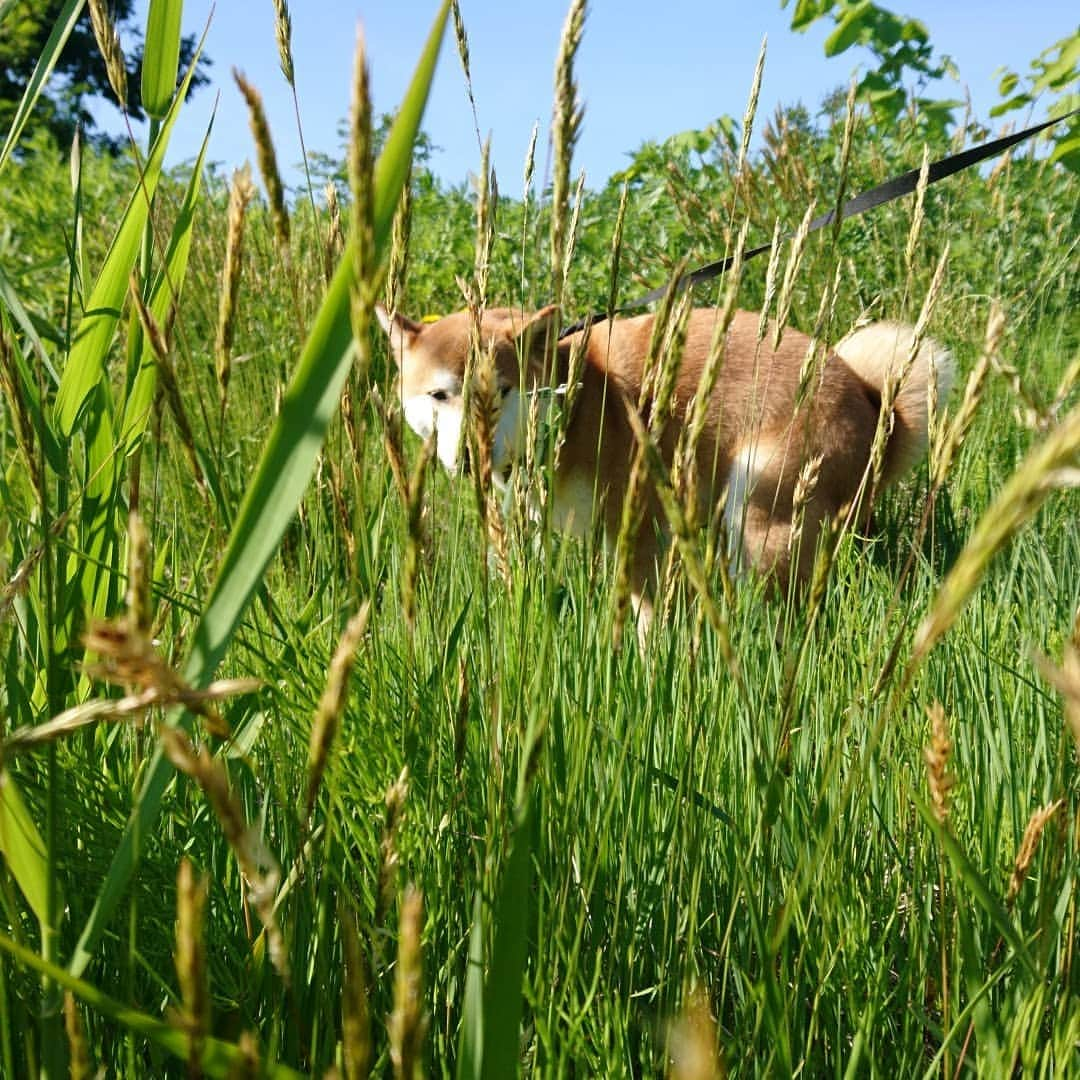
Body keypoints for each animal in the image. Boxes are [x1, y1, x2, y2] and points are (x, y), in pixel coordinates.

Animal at [375, 302, 950, 626]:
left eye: (501, 393)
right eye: (439, 395)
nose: (467, 456)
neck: (578, 402)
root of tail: (872, 402)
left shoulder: (644, 526)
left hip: (759, 509)